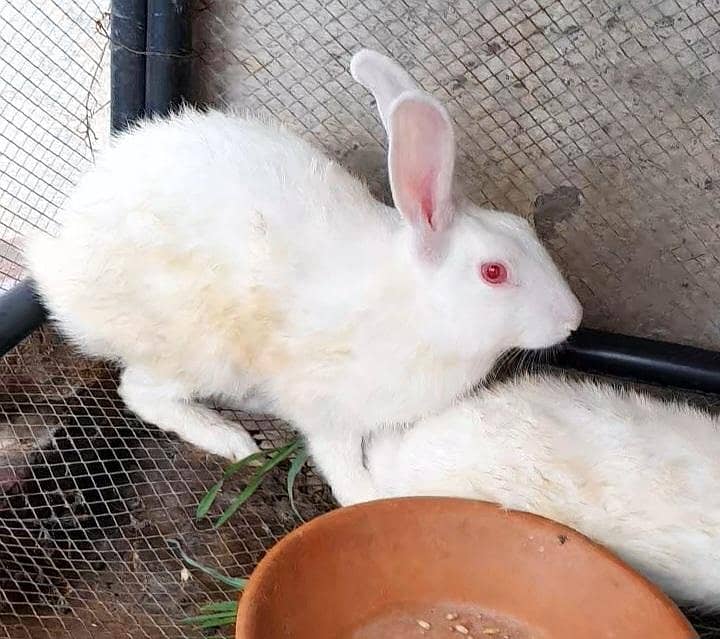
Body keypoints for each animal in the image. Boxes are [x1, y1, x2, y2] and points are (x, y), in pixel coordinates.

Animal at [25, 49, 581, 506]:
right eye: (494, 272)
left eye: (527, 230)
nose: (573, 319)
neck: (415, 310)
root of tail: (62, 267)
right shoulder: (330, 411)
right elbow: (341, 465)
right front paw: (367, 498)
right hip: (200, 349)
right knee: (140, 391)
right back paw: (230, 438)